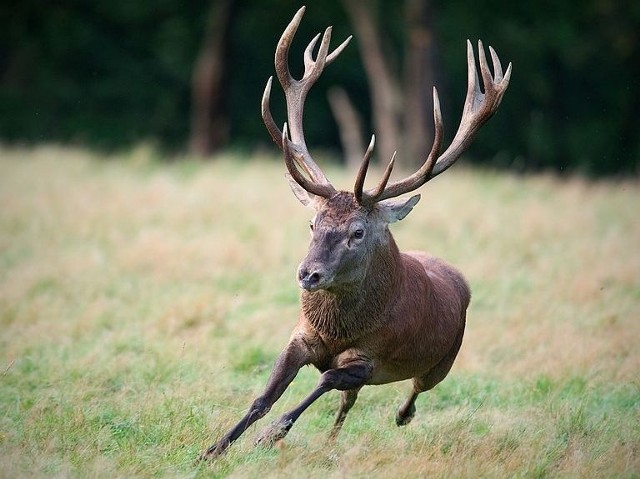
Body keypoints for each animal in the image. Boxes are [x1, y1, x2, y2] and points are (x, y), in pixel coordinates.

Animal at [200, 5, 510, 460]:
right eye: (313, 223)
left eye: (358, 233)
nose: (308, 274)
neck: (337, 330)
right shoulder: (301, 336)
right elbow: (264, 396)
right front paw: (215, 448)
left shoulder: (370, 358)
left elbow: (324, 380)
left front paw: (270, 435)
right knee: (349, 403)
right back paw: (331, 442)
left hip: (443, 360)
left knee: (413, 391)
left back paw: (400, 415)